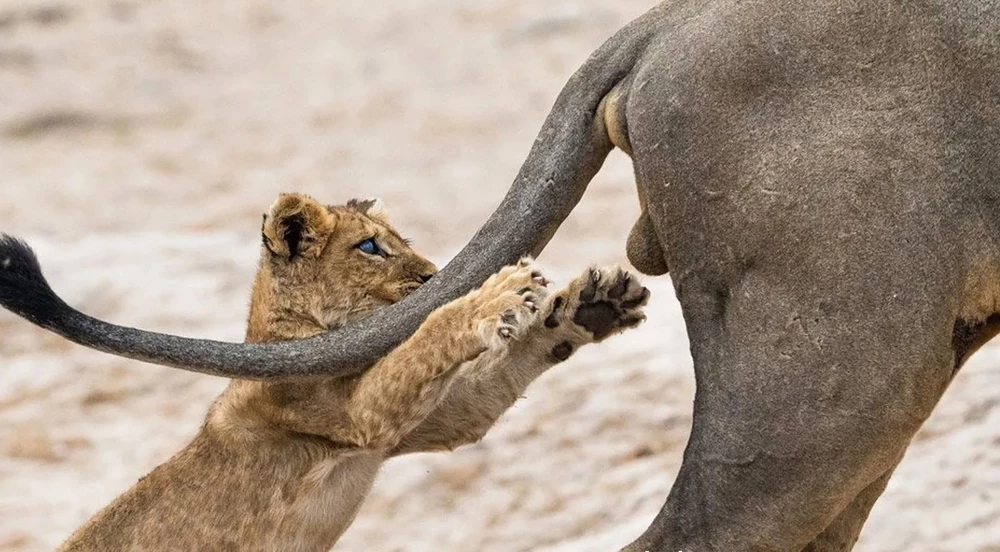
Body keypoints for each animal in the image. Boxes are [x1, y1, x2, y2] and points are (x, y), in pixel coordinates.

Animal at [0, 1, 996, 552]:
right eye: (370, 248)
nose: (430, 270)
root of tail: (666, 21)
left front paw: (578, 306)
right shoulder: (352, 410)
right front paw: (497, 296)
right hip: (841, 362)